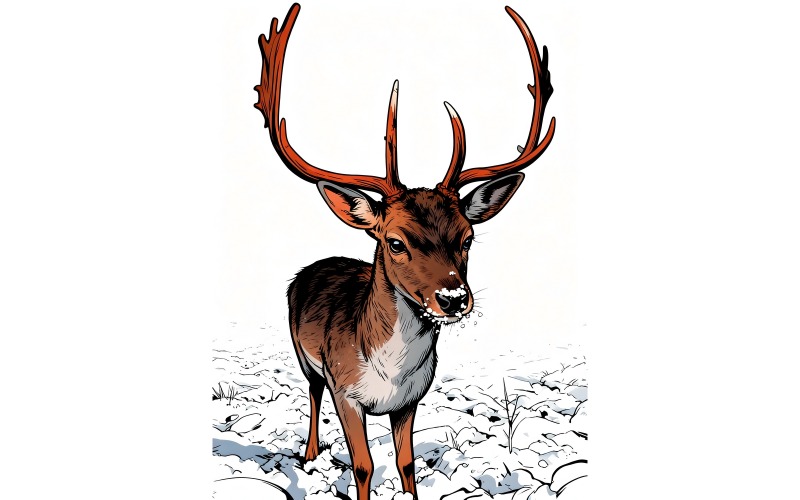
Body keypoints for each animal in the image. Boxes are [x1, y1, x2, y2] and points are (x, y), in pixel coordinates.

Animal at [254, 4, 555, 499]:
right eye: (395, 242)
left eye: (467, 238)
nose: (453, 298)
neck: (388, 375)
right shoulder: (346, 391)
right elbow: (362, 466)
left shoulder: (412, 400)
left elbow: (407, 462)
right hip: (304, 355)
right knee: (312, 392)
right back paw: (311, 453)